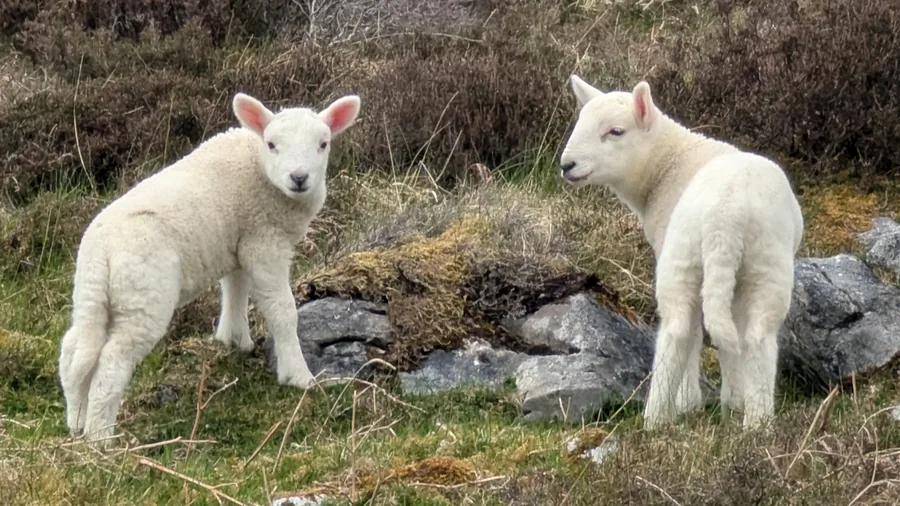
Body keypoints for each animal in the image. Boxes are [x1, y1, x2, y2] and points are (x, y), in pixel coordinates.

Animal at [58, 92, 361, 446]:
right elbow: (283, 311)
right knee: (111, 361)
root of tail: (101, 251)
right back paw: (101, 439)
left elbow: (235, 289)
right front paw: (299, 377)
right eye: (272, 144)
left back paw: (77, 422)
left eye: (323, 144)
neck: (259, 168)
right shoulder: (264, 242)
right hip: (143, 295)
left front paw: (235, 340)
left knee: (75, 351)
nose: (299, 177)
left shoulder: (238, 240)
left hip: (93, 296)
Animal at [559, 76, 803, 430]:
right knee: (756, 336)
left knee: (678, 330)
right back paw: (757, 425)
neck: (666, 164)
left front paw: (692, 402)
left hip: (681, 256)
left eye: (615, 131)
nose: (567, 165)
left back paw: (658, 417)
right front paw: (734, 401)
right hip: (763, 261)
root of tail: (724, 220)